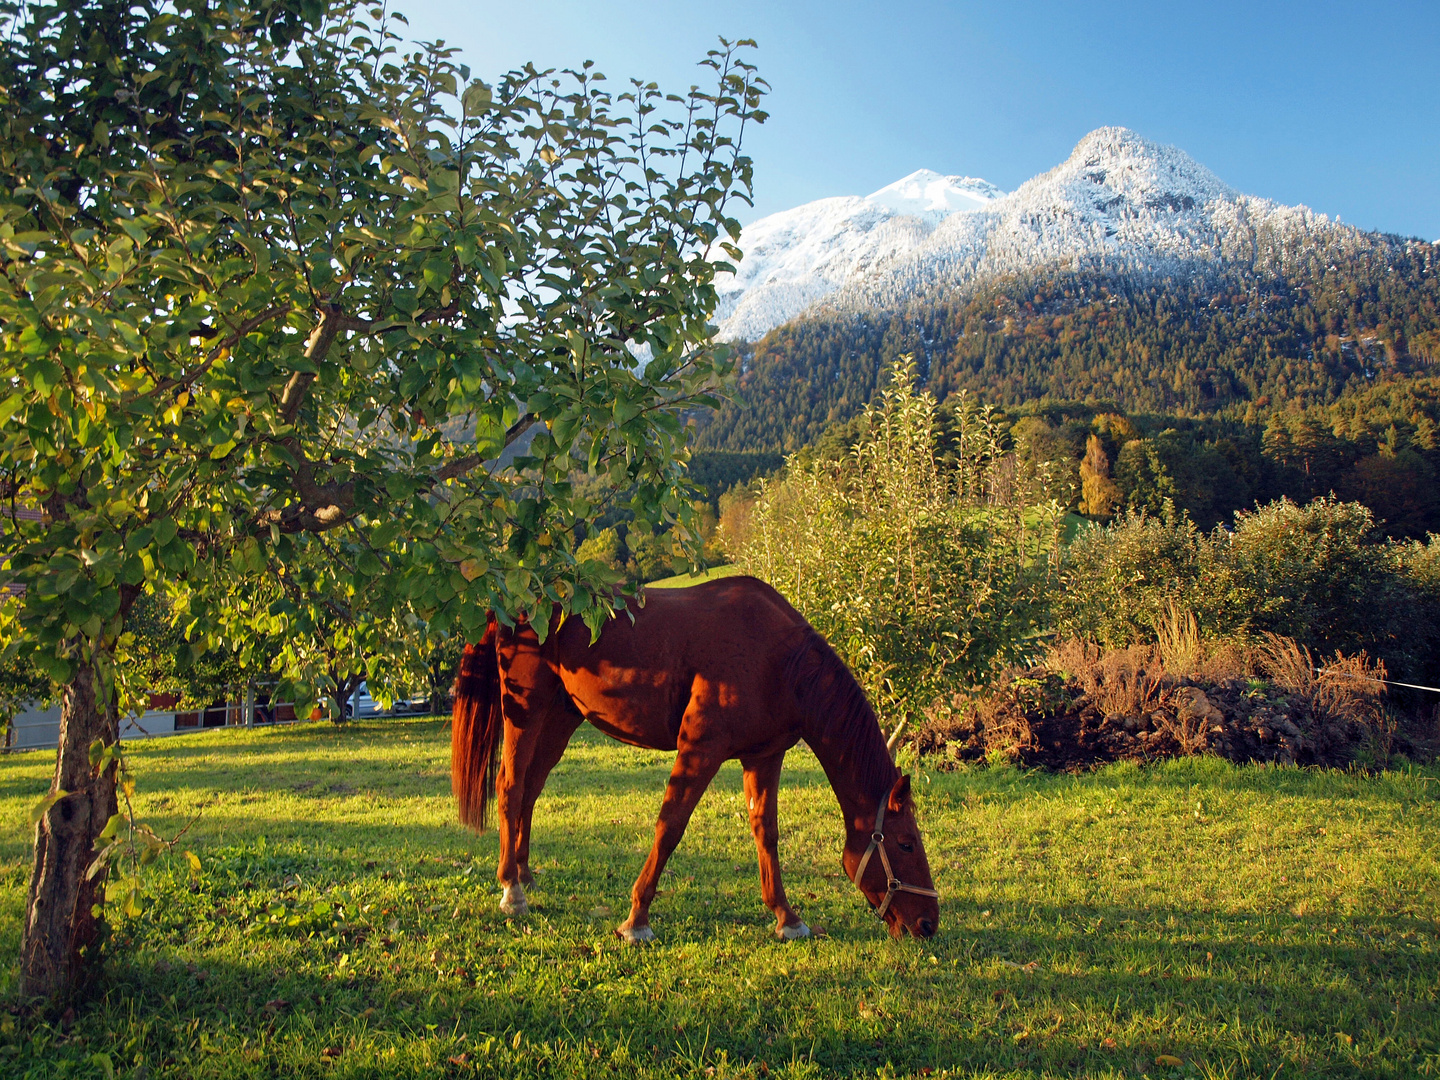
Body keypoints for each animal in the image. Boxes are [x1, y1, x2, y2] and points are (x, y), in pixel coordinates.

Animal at [452, 578, 944, 944]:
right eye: (906, 844)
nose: (928, 924)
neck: (780, 660)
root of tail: (511, 605)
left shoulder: (763, 756)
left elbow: (766, 834)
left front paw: (787, 918)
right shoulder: (700, 749)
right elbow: (670, 827)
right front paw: (636, 921)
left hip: (561, 717)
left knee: (531, 790)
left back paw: (524, 872)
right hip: (526, 710)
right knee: (511, 786)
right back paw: (512, 890)